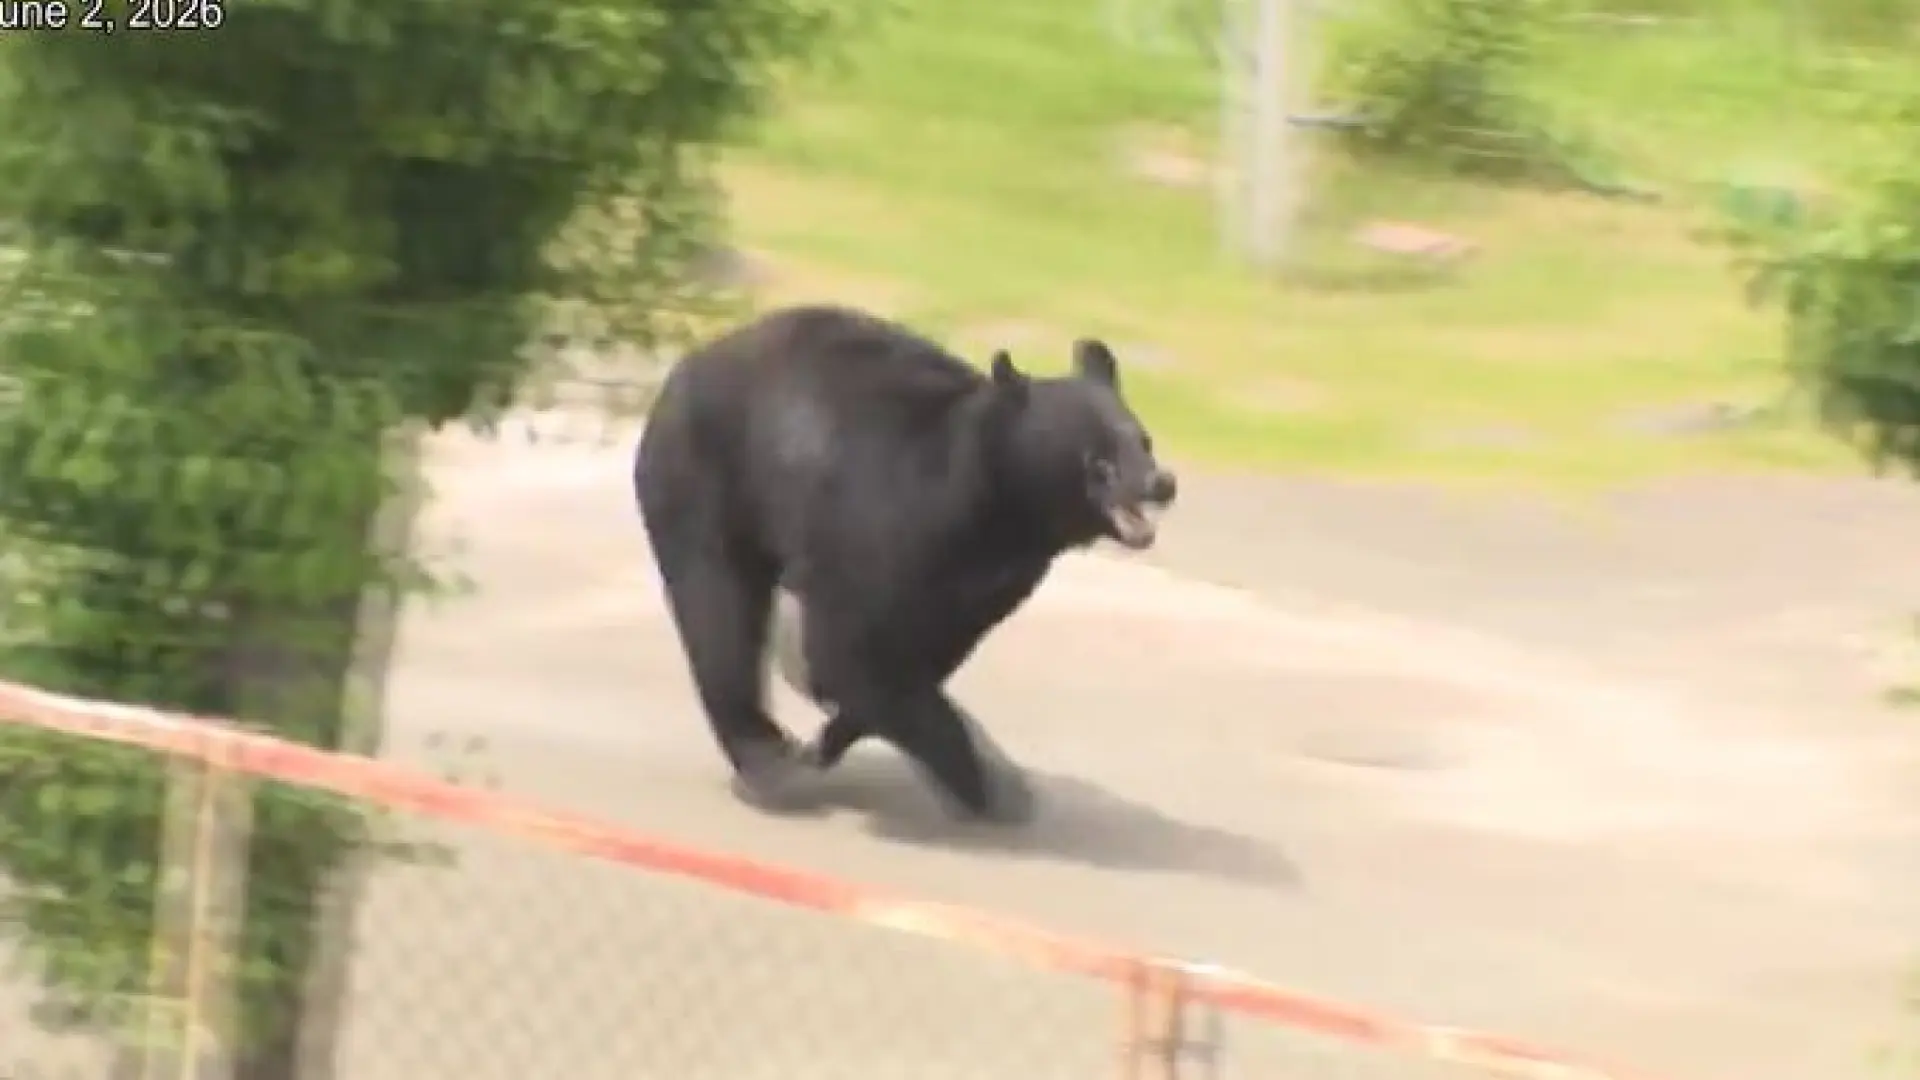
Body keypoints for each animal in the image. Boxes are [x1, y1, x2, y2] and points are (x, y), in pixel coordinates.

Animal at [633, 304, 1177, 823]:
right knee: (716, 610)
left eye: (1144, 440)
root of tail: (692, 361)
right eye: (1101, 458)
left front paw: (835, 734)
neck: (997, 508)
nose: (1162, 483)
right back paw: (764, 760)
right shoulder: (881, 524)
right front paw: (978, 784)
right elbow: (850, 651)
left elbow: (926, 653)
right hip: (704, 479)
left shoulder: (992, 583)